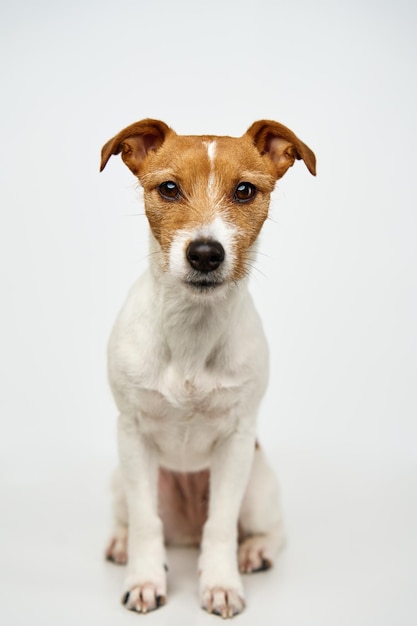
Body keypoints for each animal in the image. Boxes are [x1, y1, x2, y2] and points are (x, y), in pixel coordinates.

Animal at [100, 119, 316, 616]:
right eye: (169, 188)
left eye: (244, 190)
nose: (204, 253)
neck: (191, 331)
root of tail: (185, 530)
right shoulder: (132, 434)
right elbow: (145, 522)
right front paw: (144, 579)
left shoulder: (236, 441)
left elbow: (220, 524)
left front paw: (221, 584)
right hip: (122, 477)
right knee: (136, 518)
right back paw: (121, 543)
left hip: (258, 486)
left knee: (269, 530)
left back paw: (254, 551)